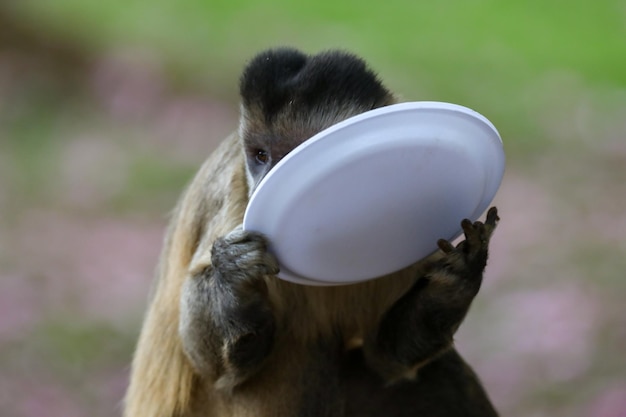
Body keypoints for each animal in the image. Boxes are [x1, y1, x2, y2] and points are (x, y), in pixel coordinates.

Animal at [124, 48, 500, 416]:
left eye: (292, 153)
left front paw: (458, 277)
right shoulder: (233, 193)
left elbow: (387, 359)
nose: (266, 182)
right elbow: (212, 367)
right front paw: (233, 276)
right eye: (261, 155)